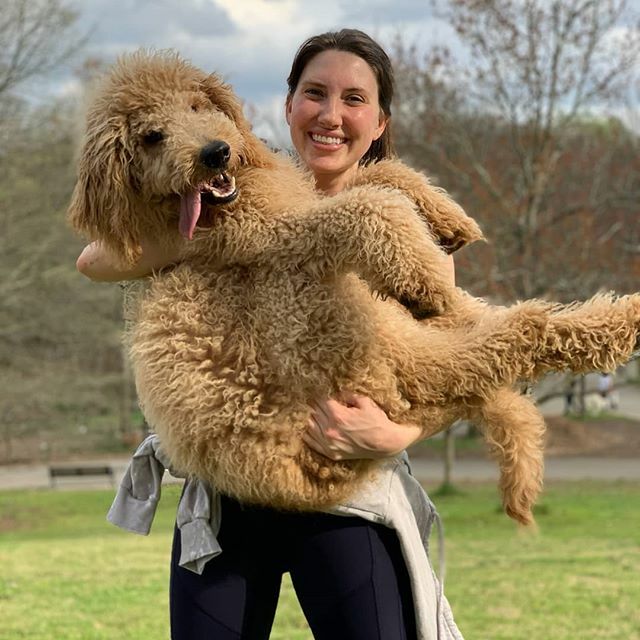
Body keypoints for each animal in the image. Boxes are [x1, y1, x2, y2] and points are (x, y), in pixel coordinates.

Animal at [70, 52, 640, 524]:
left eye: (196, 105)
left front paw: (447, 217)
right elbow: (367, 205)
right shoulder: (279, 235)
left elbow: (379, 172)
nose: (214, 153)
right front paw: (426, 273)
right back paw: (615, 319)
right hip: (365, 330)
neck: (224, 205)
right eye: (152, 136)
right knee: (517, 335)